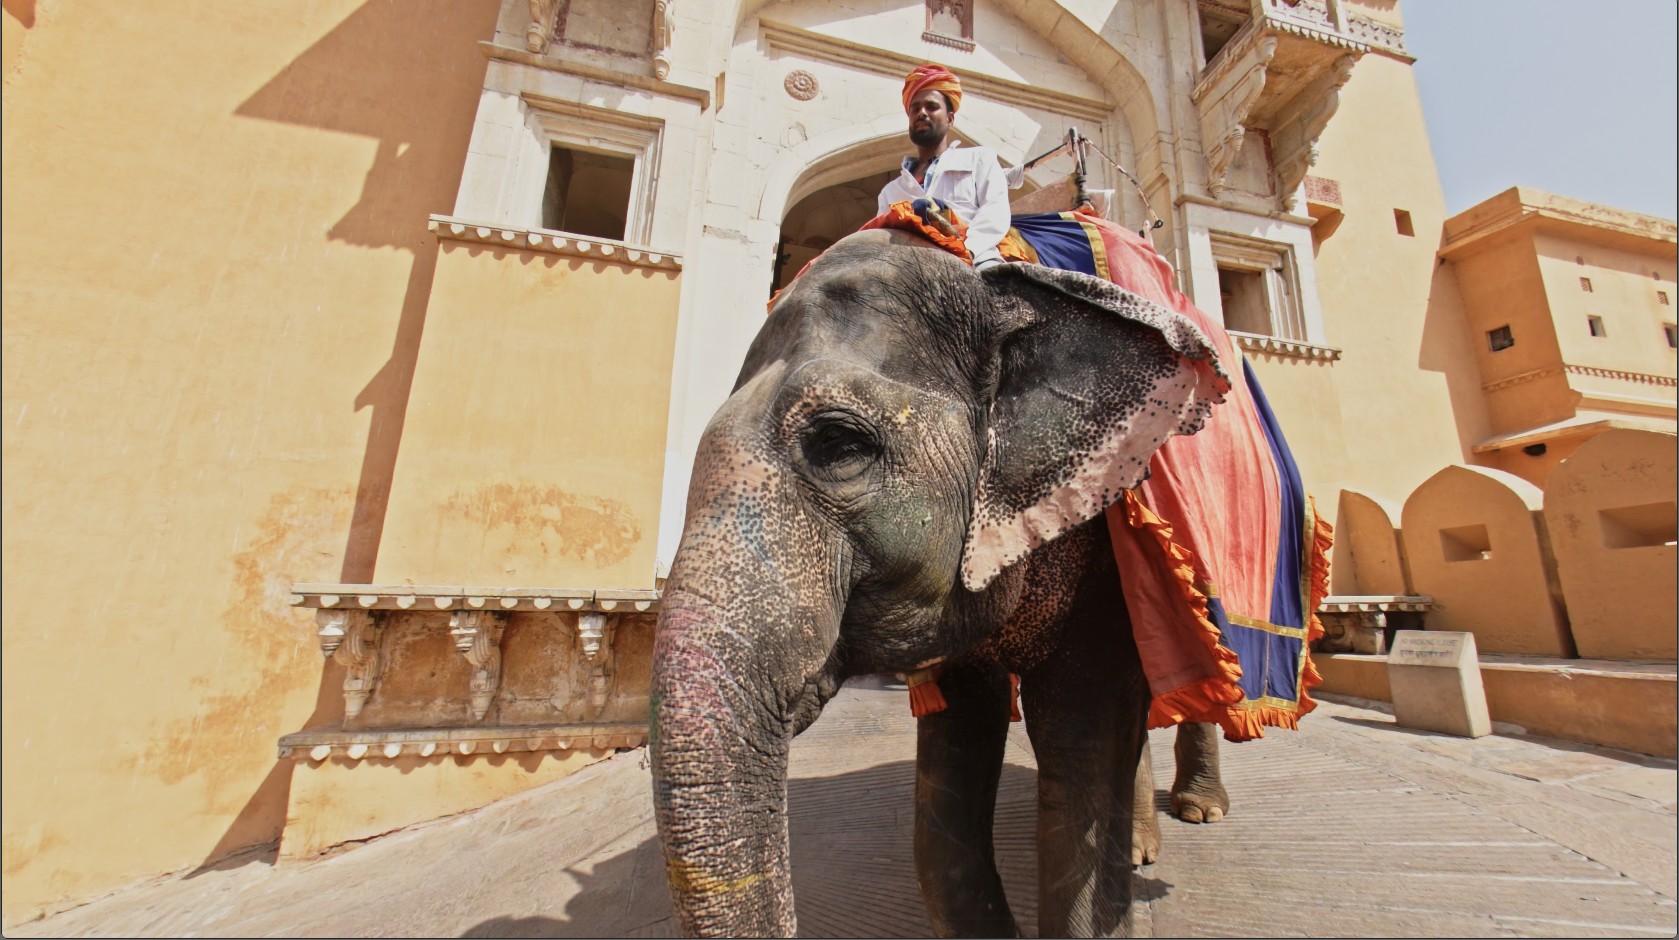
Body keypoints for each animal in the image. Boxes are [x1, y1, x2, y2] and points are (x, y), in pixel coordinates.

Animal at [651, 227, 1235, 938]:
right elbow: (956, 759)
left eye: (839, 444)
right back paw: (1147, 844)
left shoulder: (1105, 536)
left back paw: (1200, 812)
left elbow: (1079, 725)